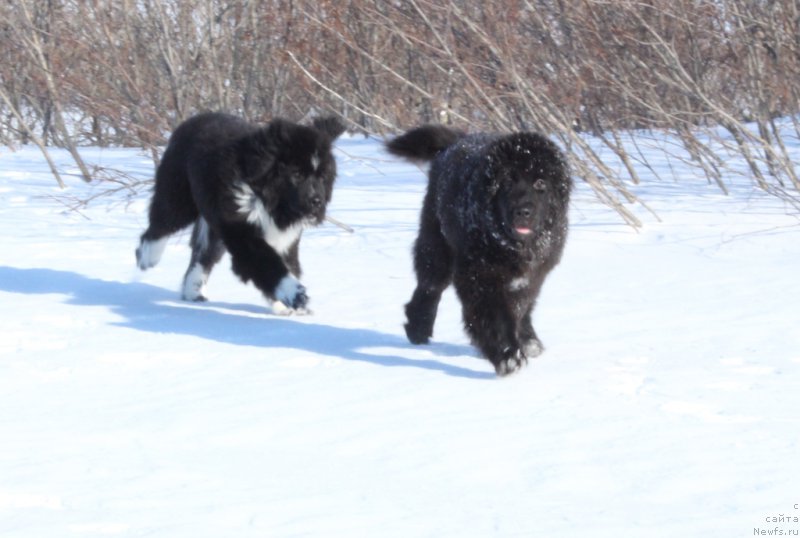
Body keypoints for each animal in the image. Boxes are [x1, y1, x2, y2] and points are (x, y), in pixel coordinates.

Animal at [135, 112, 346, 314]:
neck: (267, 200)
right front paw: (294, 294)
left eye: (322, 177)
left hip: (213, 226)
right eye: (297, 175)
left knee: (203, 256)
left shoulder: (285, 240)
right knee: (160, 226)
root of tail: (190, 121)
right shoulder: (242, 231)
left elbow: (287, 264)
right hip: (178, 196)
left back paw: (193, 293)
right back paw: (147, 257)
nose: (317, 202)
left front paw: (284, 305)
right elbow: (268, 263)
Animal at [386, 124, 568, 374]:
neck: (510, 245)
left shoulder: (532, 277)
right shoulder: (480, 278)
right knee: (430, 287)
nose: (523, 211)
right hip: (437, 244)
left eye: (540, 183)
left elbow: (520, 309)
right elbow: (495, 318)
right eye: (508, 181)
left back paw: (530, 341)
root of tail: (455, 141)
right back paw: (418, 328)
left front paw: (523, 343)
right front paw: (508, 356)